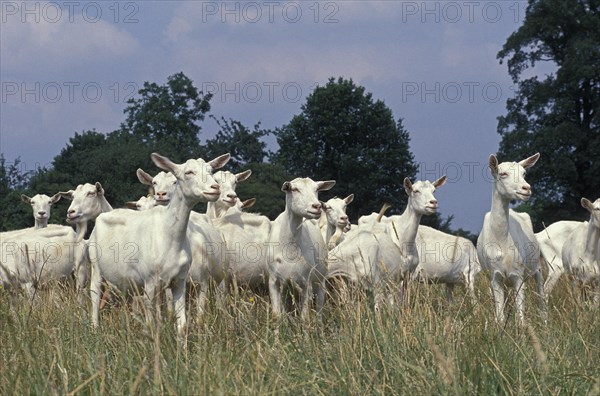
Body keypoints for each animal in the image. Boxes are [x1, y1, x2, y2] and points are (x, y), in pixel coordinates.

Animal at [88, 153, 230, 336]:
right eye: (189, 172)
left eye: (211, 171)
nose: (215, 188)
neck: (168, 236)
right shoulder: (149, 282)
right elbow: (150, 325)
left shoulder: (179, 281)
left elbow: (182, 325)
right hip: (95, 265)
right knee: (94, 293)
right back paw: (95, 327)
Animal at [268, 178, 336, 320]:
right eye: (294, 189)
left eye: (317, 189)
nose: (317, 206)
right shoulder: (273, 280)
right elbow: (277, 315)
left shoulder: (306, 282)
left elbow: (305, 317)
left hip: (320, 280)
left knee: (319, 309)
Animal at [476, 153, 548, 326]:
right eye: (503, 174)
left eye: (524, 173)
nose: (526, 188)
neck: (502, 241)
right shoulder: (495, 276)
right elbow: (500, 317)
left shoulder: (518, 275)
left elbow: (521, 318)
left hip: (537, 267)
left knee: (541, 295)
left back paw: (545, 321)